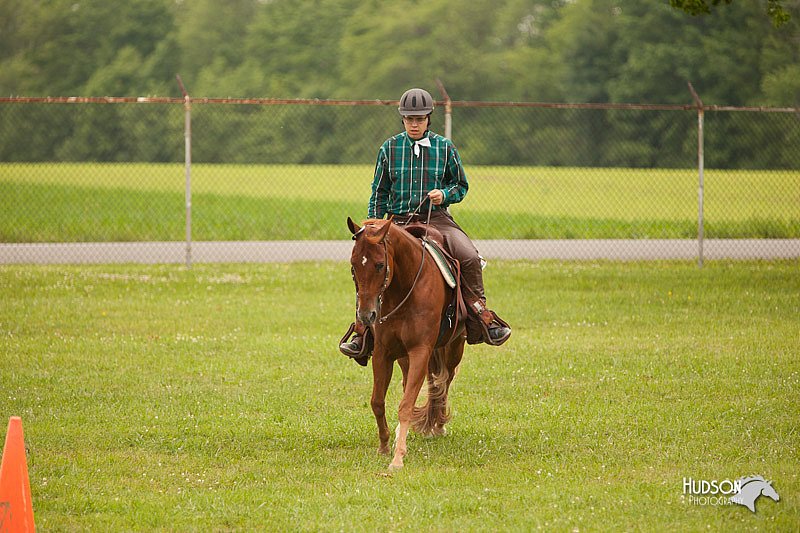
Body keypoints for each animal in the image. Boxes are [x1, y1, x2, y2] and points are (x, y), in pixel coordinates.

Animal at [346, 216, 466, 470]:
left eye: (379, 265)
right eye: (353, 265)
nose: (366, 316)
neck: (405, 289)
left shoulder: (420, 350)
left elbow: (406, 404)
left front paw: (398, 457)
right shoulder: (383, 353)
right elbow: (378, 401)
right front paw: (384, 446)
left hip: (454, 347)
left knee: (444, 381)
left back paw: (438, 425)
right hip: (406, 357)